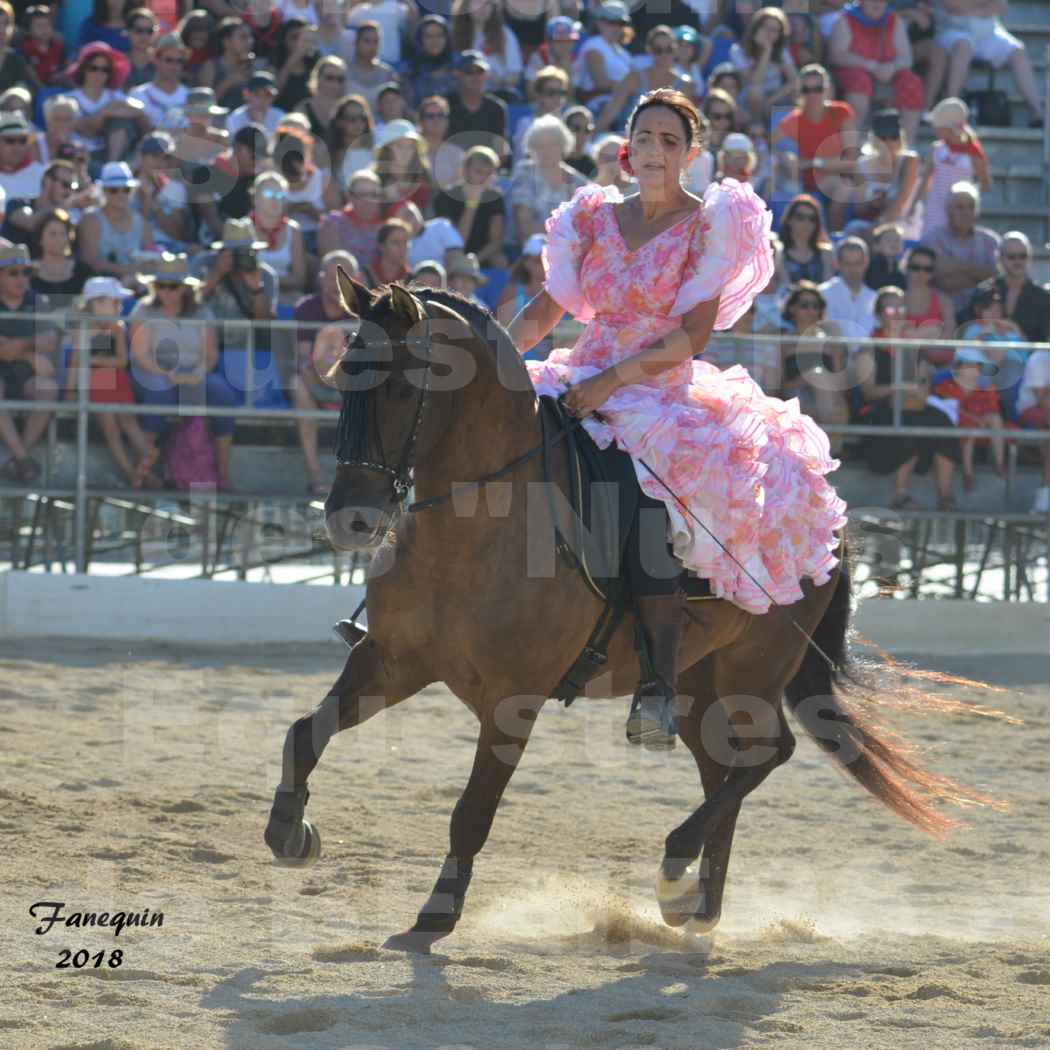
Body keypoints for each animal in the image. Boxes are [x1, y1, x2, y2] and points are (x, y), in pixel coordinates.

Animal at [266, 275, 986, 957]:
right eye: (340, 377)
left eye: (397, 386)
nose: (350, 520)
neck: (477, 527)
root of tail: (830, 517)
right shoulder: (391, 659)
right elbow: (304, 732)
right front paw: (290, 832)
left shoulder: (511, 701)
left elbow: (472, 812)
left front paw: (436, 915)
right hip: (695, 684)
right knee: (722, 768)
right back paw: (697, 906)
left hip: (754, 670)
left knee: (766, 753)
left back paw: (675, 871)